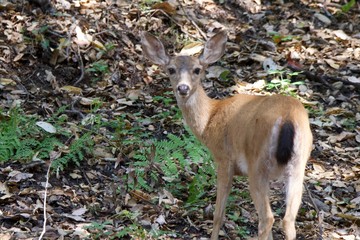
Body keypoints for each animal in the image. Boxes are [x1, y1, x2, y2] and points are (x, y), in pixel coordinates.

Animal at [141, 30, 312, 240]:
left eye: (197, 69)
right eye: (171, 69)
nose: (183, 88)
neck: (209, 119)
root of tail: (287, 118)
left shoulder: (224, 158)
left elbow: (218, 214)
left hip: (258, 165)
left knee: (267, 219)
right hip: (298, 165)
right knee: (288, 220)